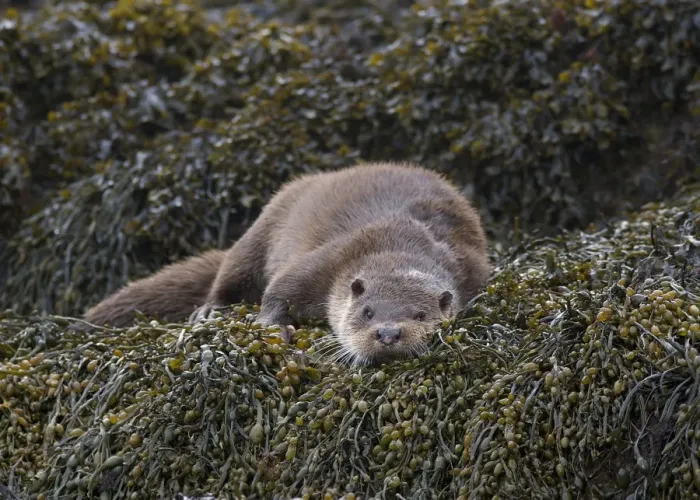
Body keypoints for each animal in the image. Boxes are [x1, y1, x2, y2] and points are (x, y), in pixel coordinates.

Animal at [83, 162, 492, 365]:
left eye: (421, 315)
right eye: (367, 312)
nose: (389, 333)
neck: (404, 241)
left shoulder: (470, 271)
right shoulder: (330, 259)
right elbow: (279, 289)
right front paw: (273, 331)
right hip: (262, 229)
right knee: (230, 274)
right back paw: (211, 311)